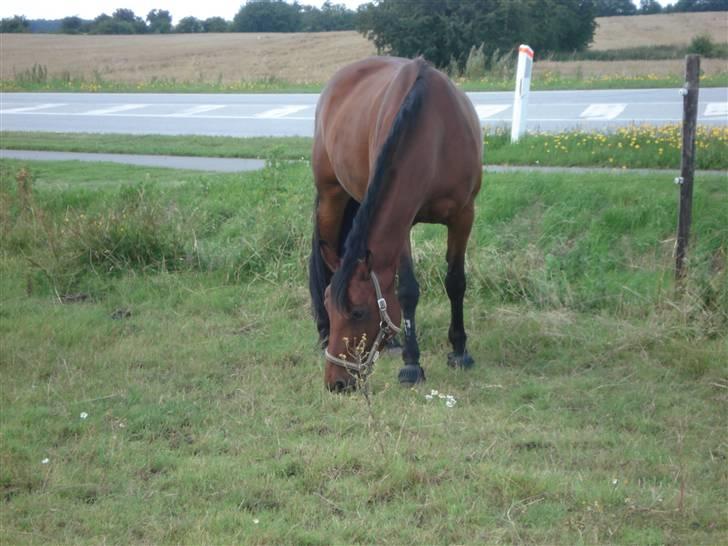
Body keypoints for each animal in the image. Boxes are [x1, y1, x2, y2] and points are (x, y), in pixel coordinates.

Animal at [308, 56, 484, 392]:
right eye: (330, 304)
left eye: (359, 312)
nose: (336, 382)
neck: (435, 133)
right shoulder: (403, 224)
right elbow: (407, 291)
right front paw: (412, 364)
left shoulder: (463, 215)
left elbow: (456, 282)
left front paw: (459, 350)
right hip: (331, 196)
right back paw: (322, 331)